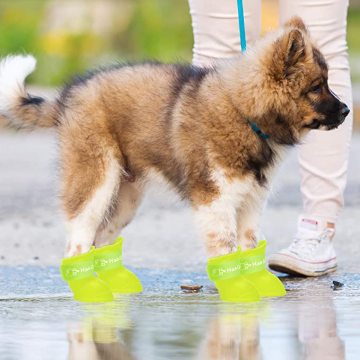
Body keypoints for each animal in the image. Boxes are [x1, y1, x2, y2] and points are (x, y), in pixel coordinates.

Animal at [0, 16, 348, 260]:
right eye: (316, 87)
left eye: (327, 82)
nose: (347, 111)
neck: (245, 114)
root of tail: (67, 98)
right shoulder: (214, 200)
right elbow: (225, 248)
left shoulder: (250, 202)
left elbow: (248, 246)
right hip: (94, 179)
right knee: (78, 240)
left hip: (124, 198)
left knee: (100, 239)